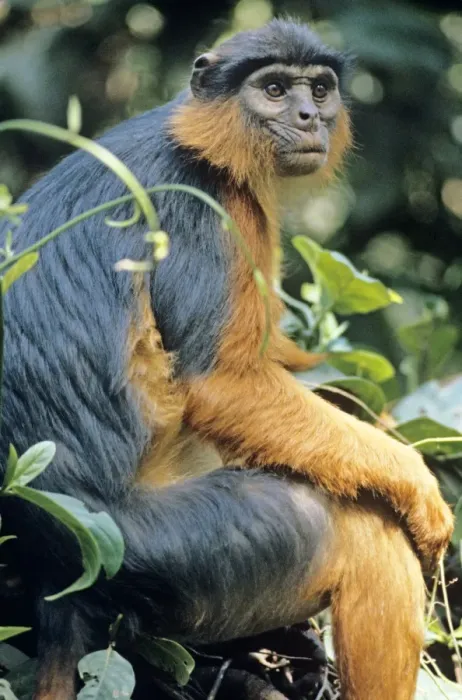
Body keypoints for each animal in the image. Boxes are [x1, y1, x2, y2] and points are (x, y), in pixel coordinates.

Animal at [0, 18, 453, 700]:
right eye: (274, 90)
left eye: (319, 90)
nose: (307, 116)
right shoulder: (208, 204)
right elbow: (223, 385)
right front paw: (419, 486)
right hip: (181, 553)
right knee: (363, 535)